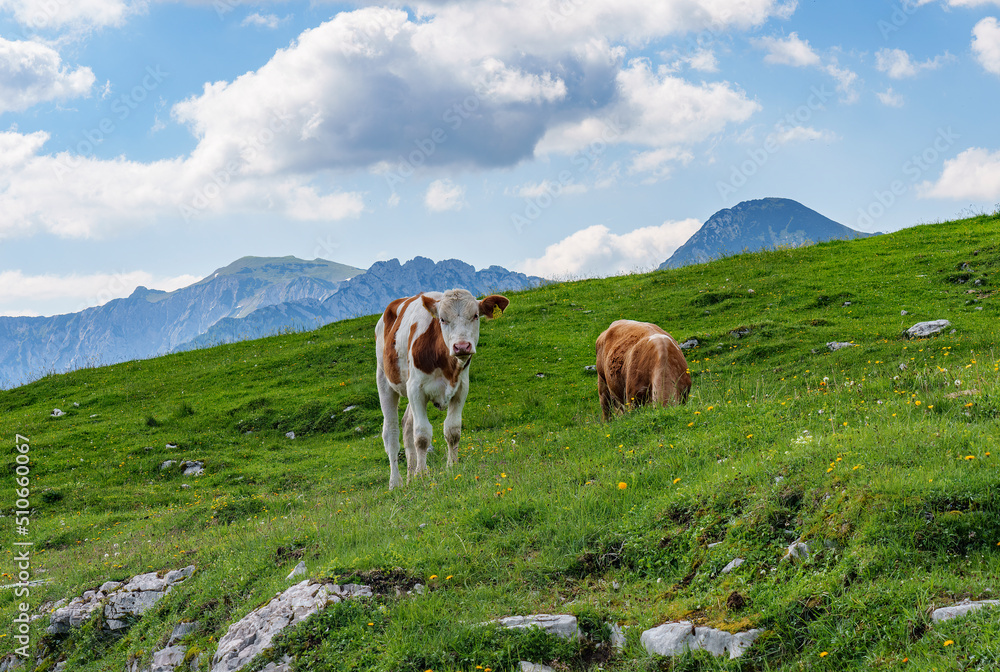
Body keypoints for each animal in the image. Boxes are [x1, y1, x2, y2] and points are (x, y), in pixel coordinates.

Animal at [378, 288, 512, 488]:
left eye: (475, 315)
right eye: (442, 319)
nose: (462, 346)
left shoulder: (461, 388)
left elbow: (452, 430)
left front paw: (451, 466)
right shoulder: (416, 390)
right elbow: (422, 436)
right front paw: (422, 474)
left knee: (407, 426)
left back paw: (410, 477)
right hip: (384, 380)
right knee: (391, 434)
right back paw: (396, 483)